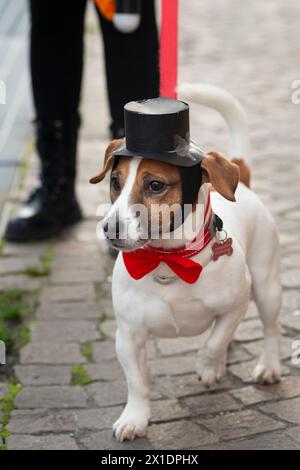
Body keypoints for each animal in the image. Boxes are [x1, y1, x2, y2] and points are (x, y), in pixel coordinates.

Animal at [89, 86, 282, 442]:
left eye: (155, 185)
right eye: (115, 181)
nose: (109, 229)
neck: (168, 262)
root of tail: (242, 178)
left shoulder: (235, 305)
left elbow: (213, 342)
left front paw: (207, 368)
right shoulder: (128, 336)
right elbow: (137, 384)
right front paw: (134, 418)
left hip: (266, 285)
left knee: (270, 328)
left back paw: (268, 366)